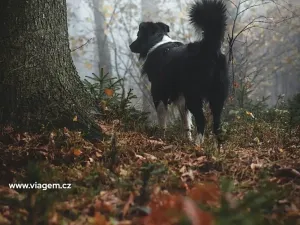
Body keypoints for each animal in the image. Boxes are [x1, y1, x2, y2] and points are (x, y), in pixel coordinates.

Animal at [127, 0, 229, 145]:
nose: (130, 46)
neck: (158, 41)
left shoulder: (158, 92)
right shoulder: (181, 97)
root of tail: (208, 48)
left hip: (194, 95)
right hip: (217, 96)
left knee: (202, 120)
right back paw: (216, 148)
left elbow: (162, 119)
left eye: (138, 35)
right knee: (217, 124)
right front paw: (186, 138)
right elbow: (186, 121)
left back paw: (197, 144)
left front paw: (161, 137)